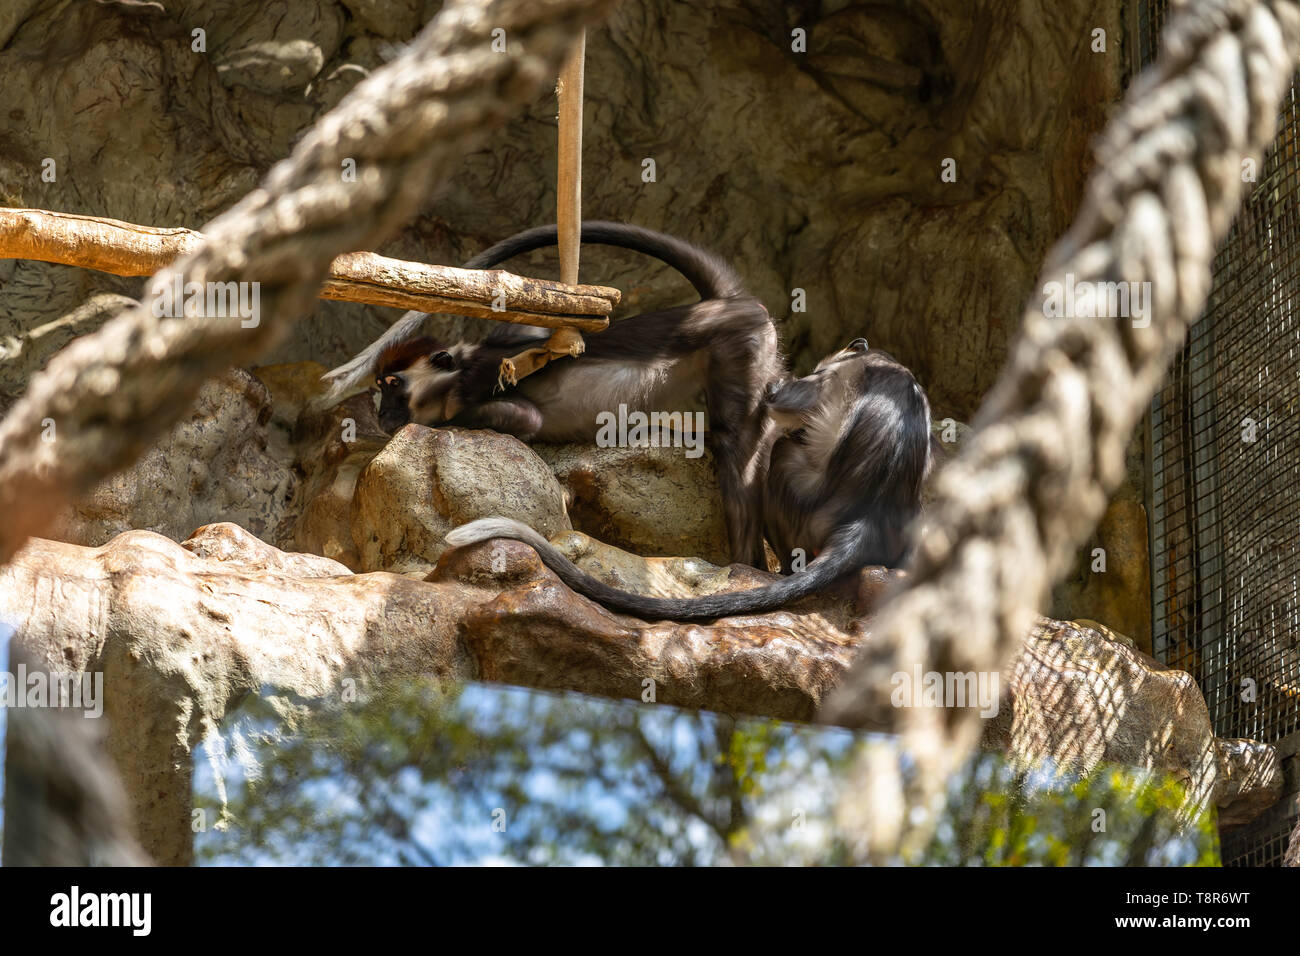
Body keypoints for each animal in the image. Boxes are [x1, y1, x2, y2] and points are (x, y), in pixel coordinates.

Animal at [323, 223, 780, 567]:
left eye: (393, 386)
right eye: (379, 388)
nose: (384, 413)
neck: (454, 379)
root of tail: (724, 304)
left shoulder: (473, 383)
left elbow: (525, 418)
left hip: (739, 345)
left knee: (735, 439)